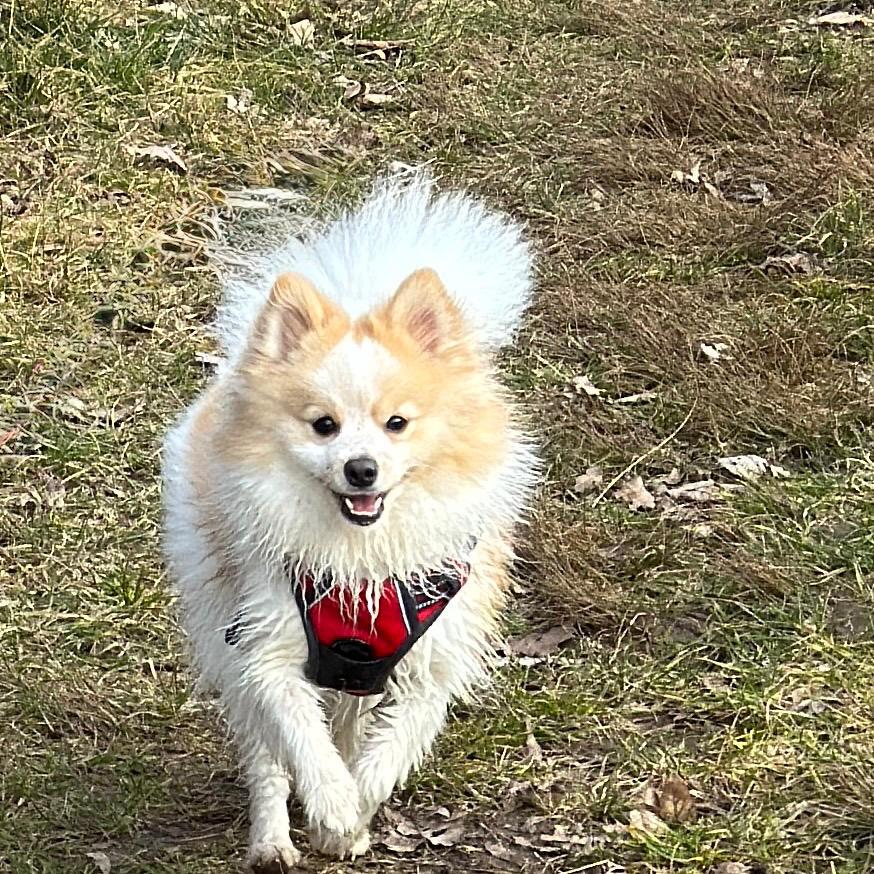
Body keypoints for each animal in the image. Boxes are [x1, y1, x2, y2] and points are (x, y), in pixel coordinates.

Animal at [161, 168, 537, 871]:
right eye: (323, 425)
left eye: (398, 423)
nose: (361, 469)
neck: (362, 557)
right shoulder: (267, 648)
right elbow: (302, 742)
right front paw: (332, 804)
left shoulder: (430, 663)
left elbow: (388, 752)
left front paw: (352, 815)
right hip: (223, 623)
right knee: (267, 758)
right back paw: (273, 841)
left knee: (349, 724)